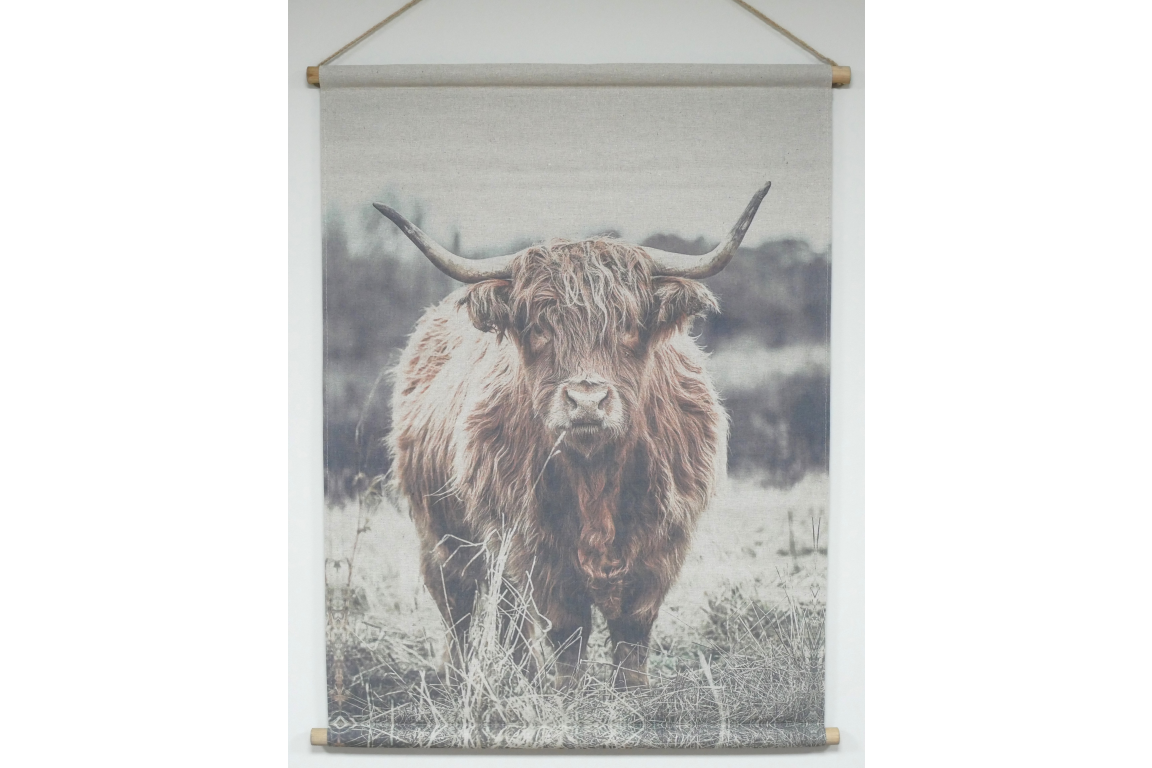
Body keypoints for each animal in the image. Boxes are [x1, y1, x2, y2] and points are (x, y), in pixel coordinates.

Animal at [374, 182, 772, 688]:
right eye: (540, 328)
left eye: (630, 327)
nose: (586, 400)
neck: (596, 475)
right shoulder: (535, 547)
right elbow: (566, 631)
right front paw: (567, 691)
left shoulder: (661, 545)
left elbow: (632, 629)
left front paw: (633, 690)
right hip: (441, 535)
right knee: (460, 607)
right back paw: (464, 677)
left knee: (505, 615)